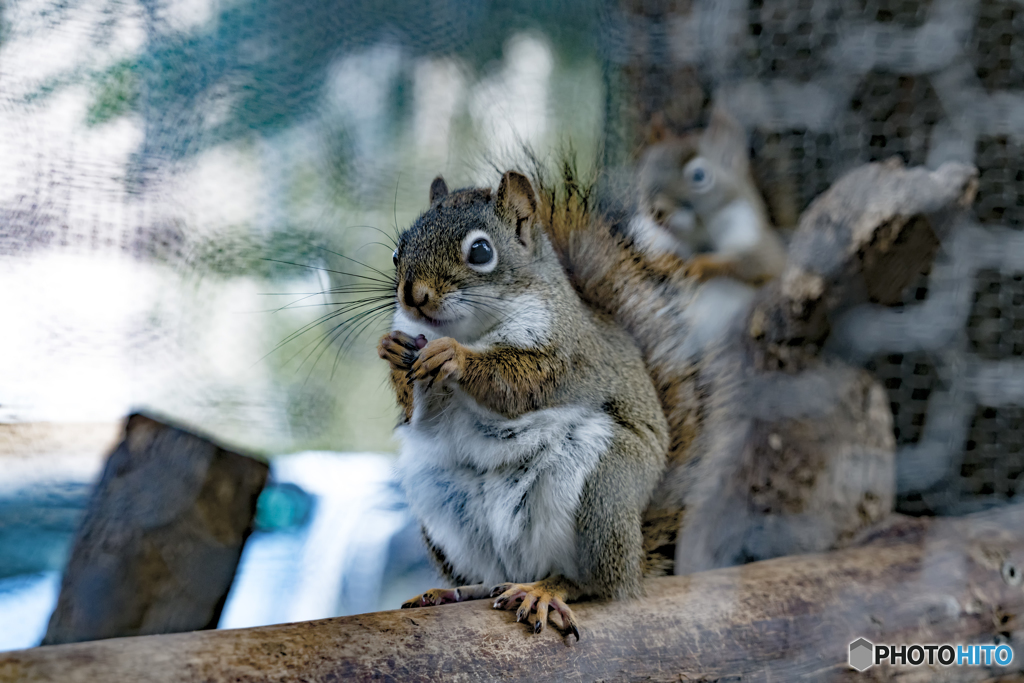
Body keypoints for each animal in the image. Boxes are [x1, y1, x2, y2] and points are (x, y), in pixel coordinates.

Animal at [378, 171, 671, 643]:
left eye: (481, 251)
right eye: (395, 252)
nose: (413, 296)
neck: (472, 329)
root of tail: (638, 562)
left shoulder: (564, 356)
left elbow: (516, 383)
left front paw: (456, 357)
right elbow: (419, 417)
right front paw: (392, 351)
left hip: (603, 492)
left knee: (598, 584)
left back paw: (547, 590)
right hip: (442, 510)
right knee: (488, 577)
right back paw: (454, 593)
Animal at [626, 102, 786, 284]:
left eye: (699, 175)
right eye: (643, 171)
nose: (657, 210)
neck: (697, 229)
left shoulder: (749, 231)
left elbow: (754, 265)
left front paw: (700, 266)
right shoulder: (647, 232)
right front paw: (666, 260)